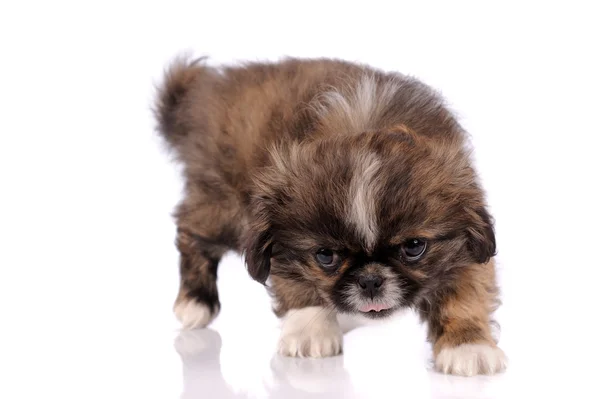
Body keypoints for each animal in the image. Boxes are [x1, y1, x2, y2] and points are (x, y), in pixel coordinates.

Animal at [154, 54, 506, 376]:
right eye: (325, 256)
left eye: (414, 247)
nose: (370, 280)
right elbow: (298, 285)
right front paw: (311, 329)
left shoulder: (467, 248)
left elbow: (465, 297)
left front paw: (468, 345)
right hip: (222, 210)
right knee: (190, 233)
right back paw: (195, 301)